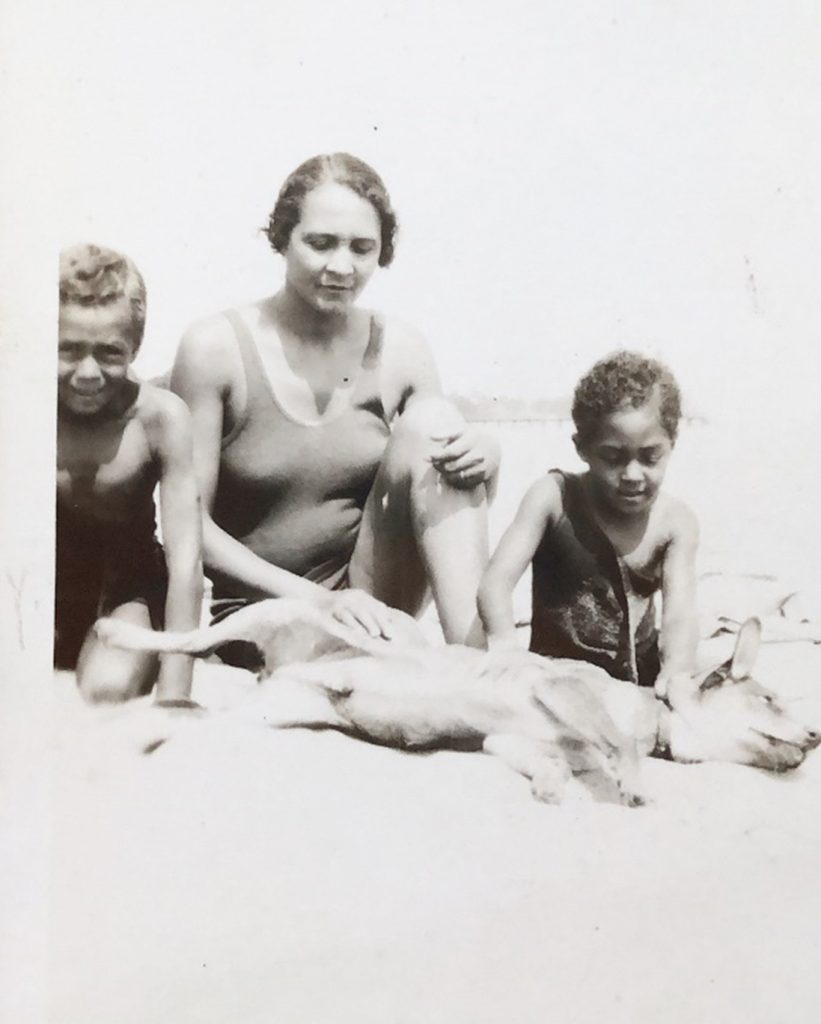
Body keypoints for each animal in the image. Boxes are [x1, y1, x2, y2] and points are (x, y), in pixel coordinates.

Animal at [96, 598, 818, 806]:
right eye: (769, 697)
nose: (814, 737)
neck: (654, 719)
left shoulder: (515, 741)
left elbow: (547, 762)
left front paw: (553, 787)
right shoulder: (559, 688)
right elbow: (615, 744)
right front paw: (634, 781)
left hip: (268, 716)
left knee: (188, 731)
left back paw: (131, 744)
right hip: (267, 613)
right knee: (182, 639)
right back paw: (115, 633)